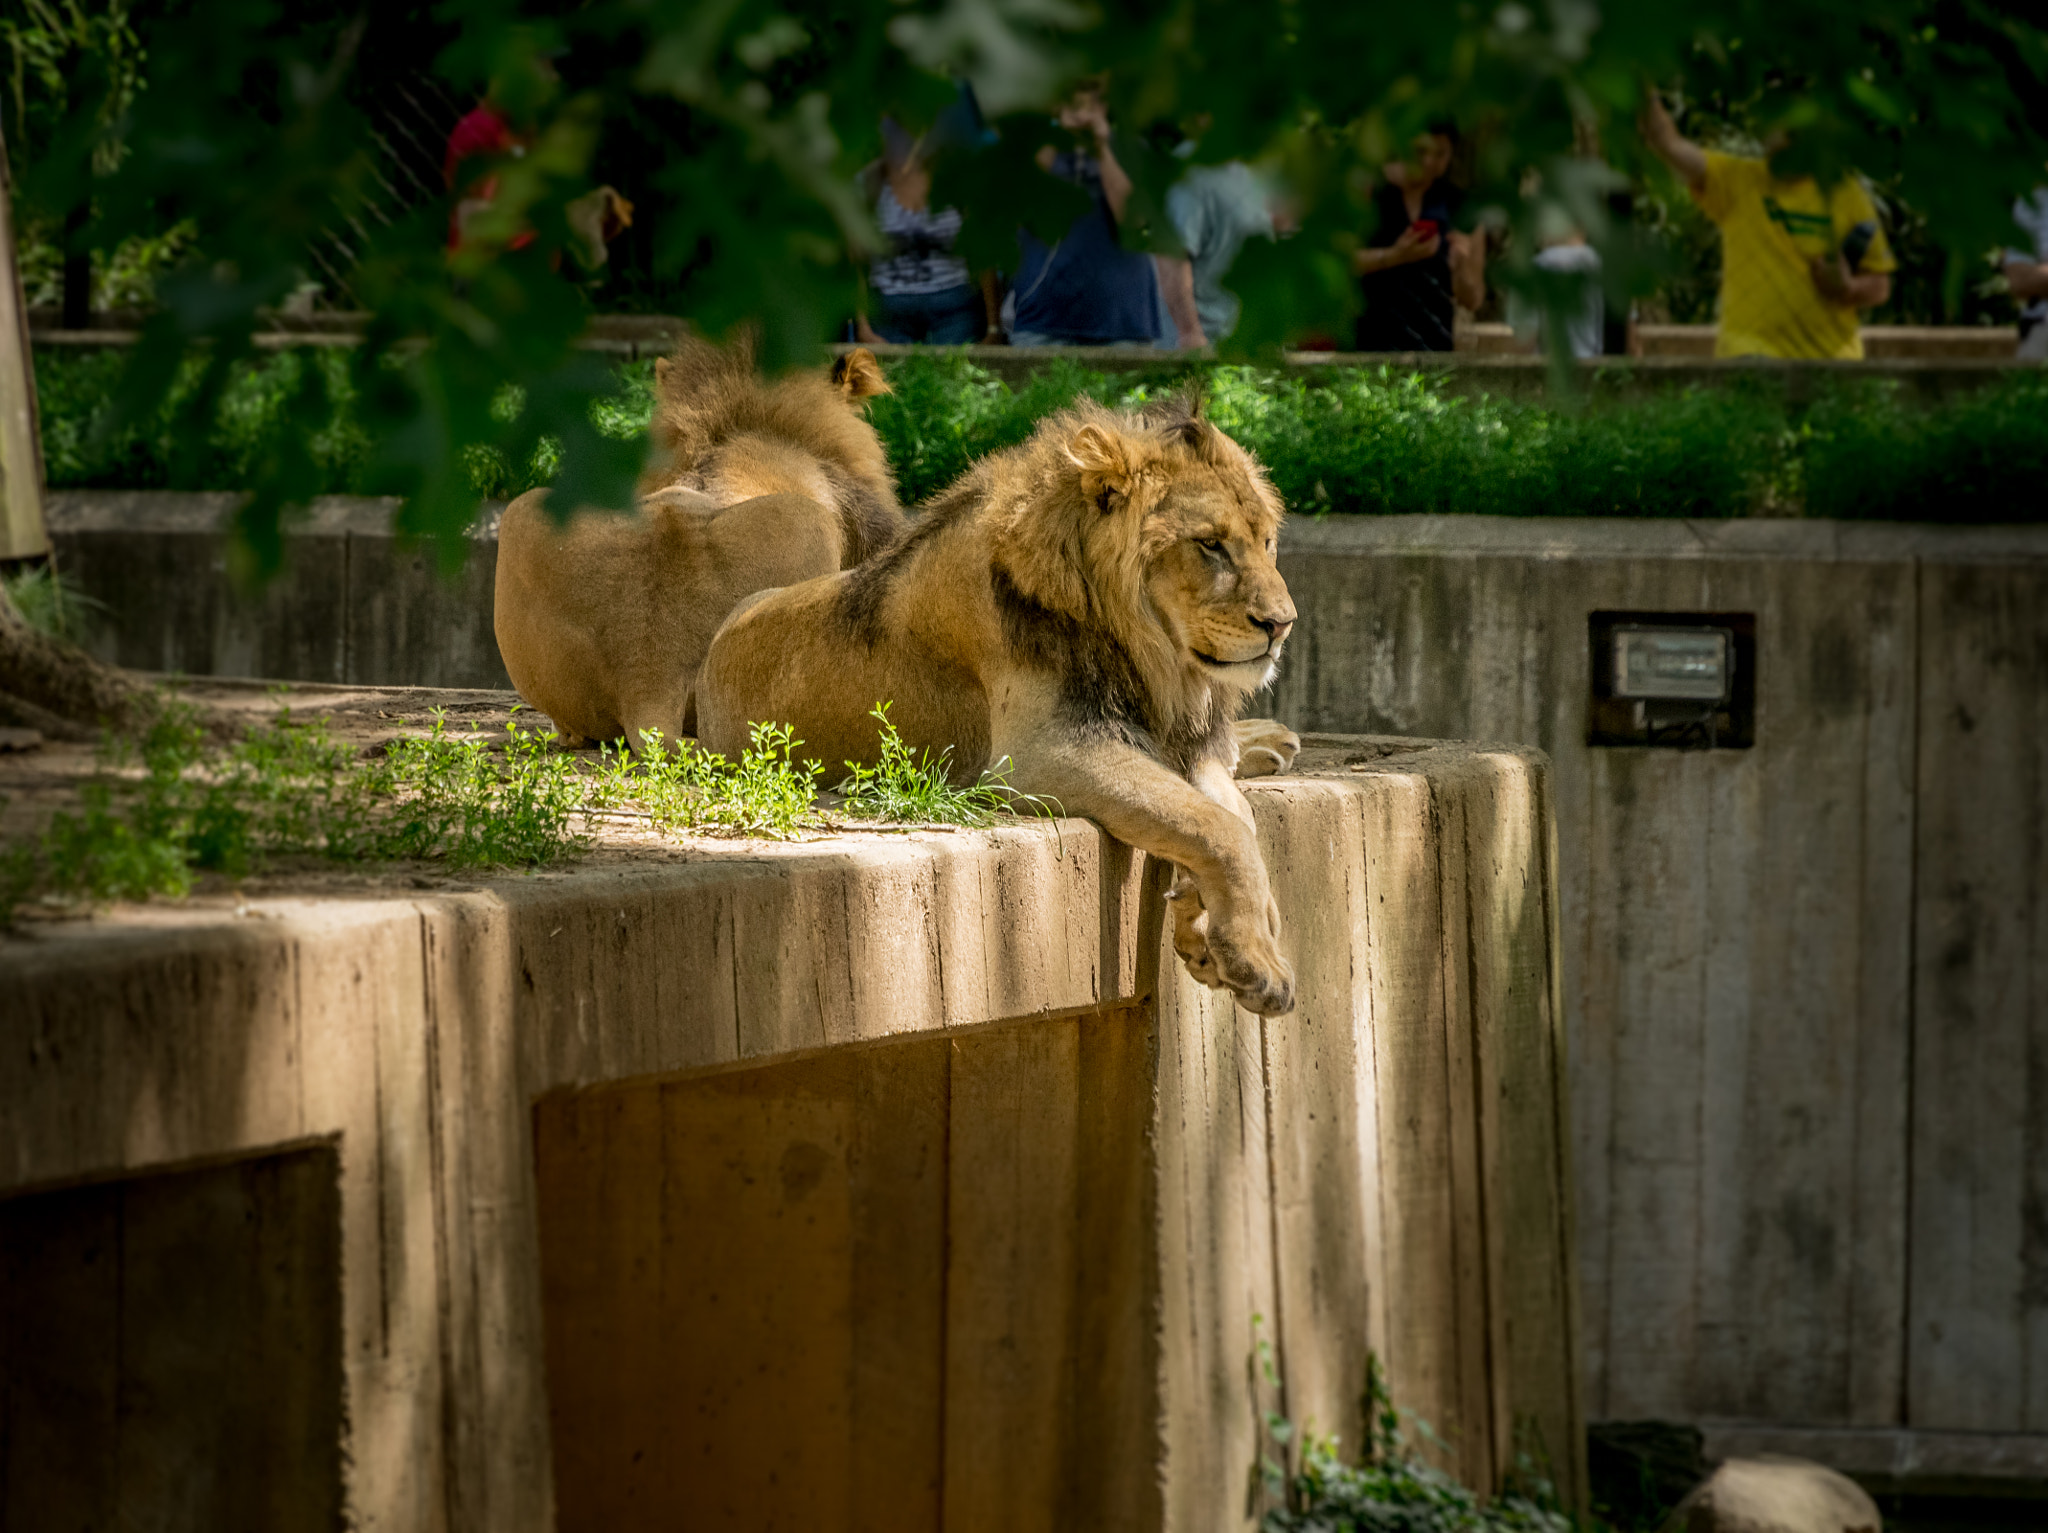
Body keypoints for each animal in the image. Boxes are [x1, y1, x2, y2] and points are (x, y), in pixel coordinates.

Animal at [695, 396, 1301, 1015]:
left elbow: (1235, 817)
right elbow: (1217, 827)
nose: (1282, 625)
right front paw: (1254, 958)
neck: (1156, 659)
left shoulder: (1186, 743)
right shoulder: (1040, 756)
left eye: (1267, 542)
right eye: (1210, 544)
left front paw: (1219, 929)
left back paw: (1270, 741)